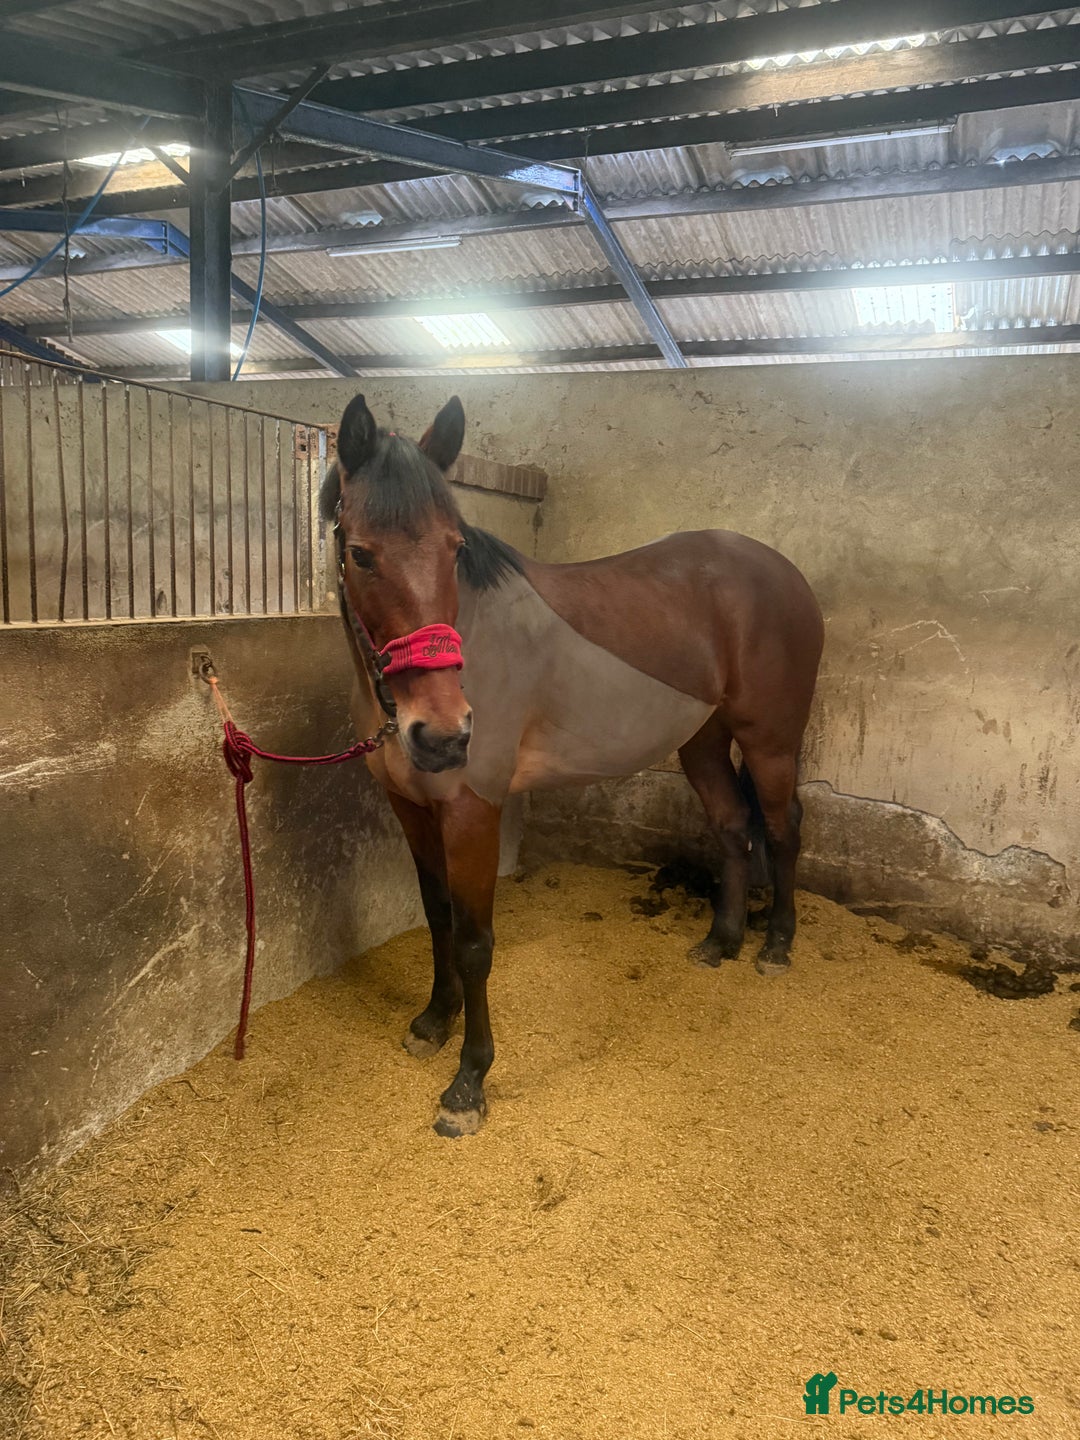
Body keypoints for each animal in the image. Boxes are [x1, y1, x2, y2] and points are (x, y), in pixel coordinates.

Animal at [320, 393, 824, 1137]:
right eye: (361, 553)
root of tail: (786, 574)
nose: (444, 735)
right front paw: (433, 1022)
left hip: (769, 742)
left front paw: (469, 1083)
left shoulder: (473, 811)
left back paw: (776, 947)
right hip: (702, 741)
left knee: (784, 830)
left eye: (455, 548)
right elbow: (437, 917)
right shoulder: (412, 808)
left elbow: (474, 941)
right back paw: (721, 941)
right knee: (735, 827)